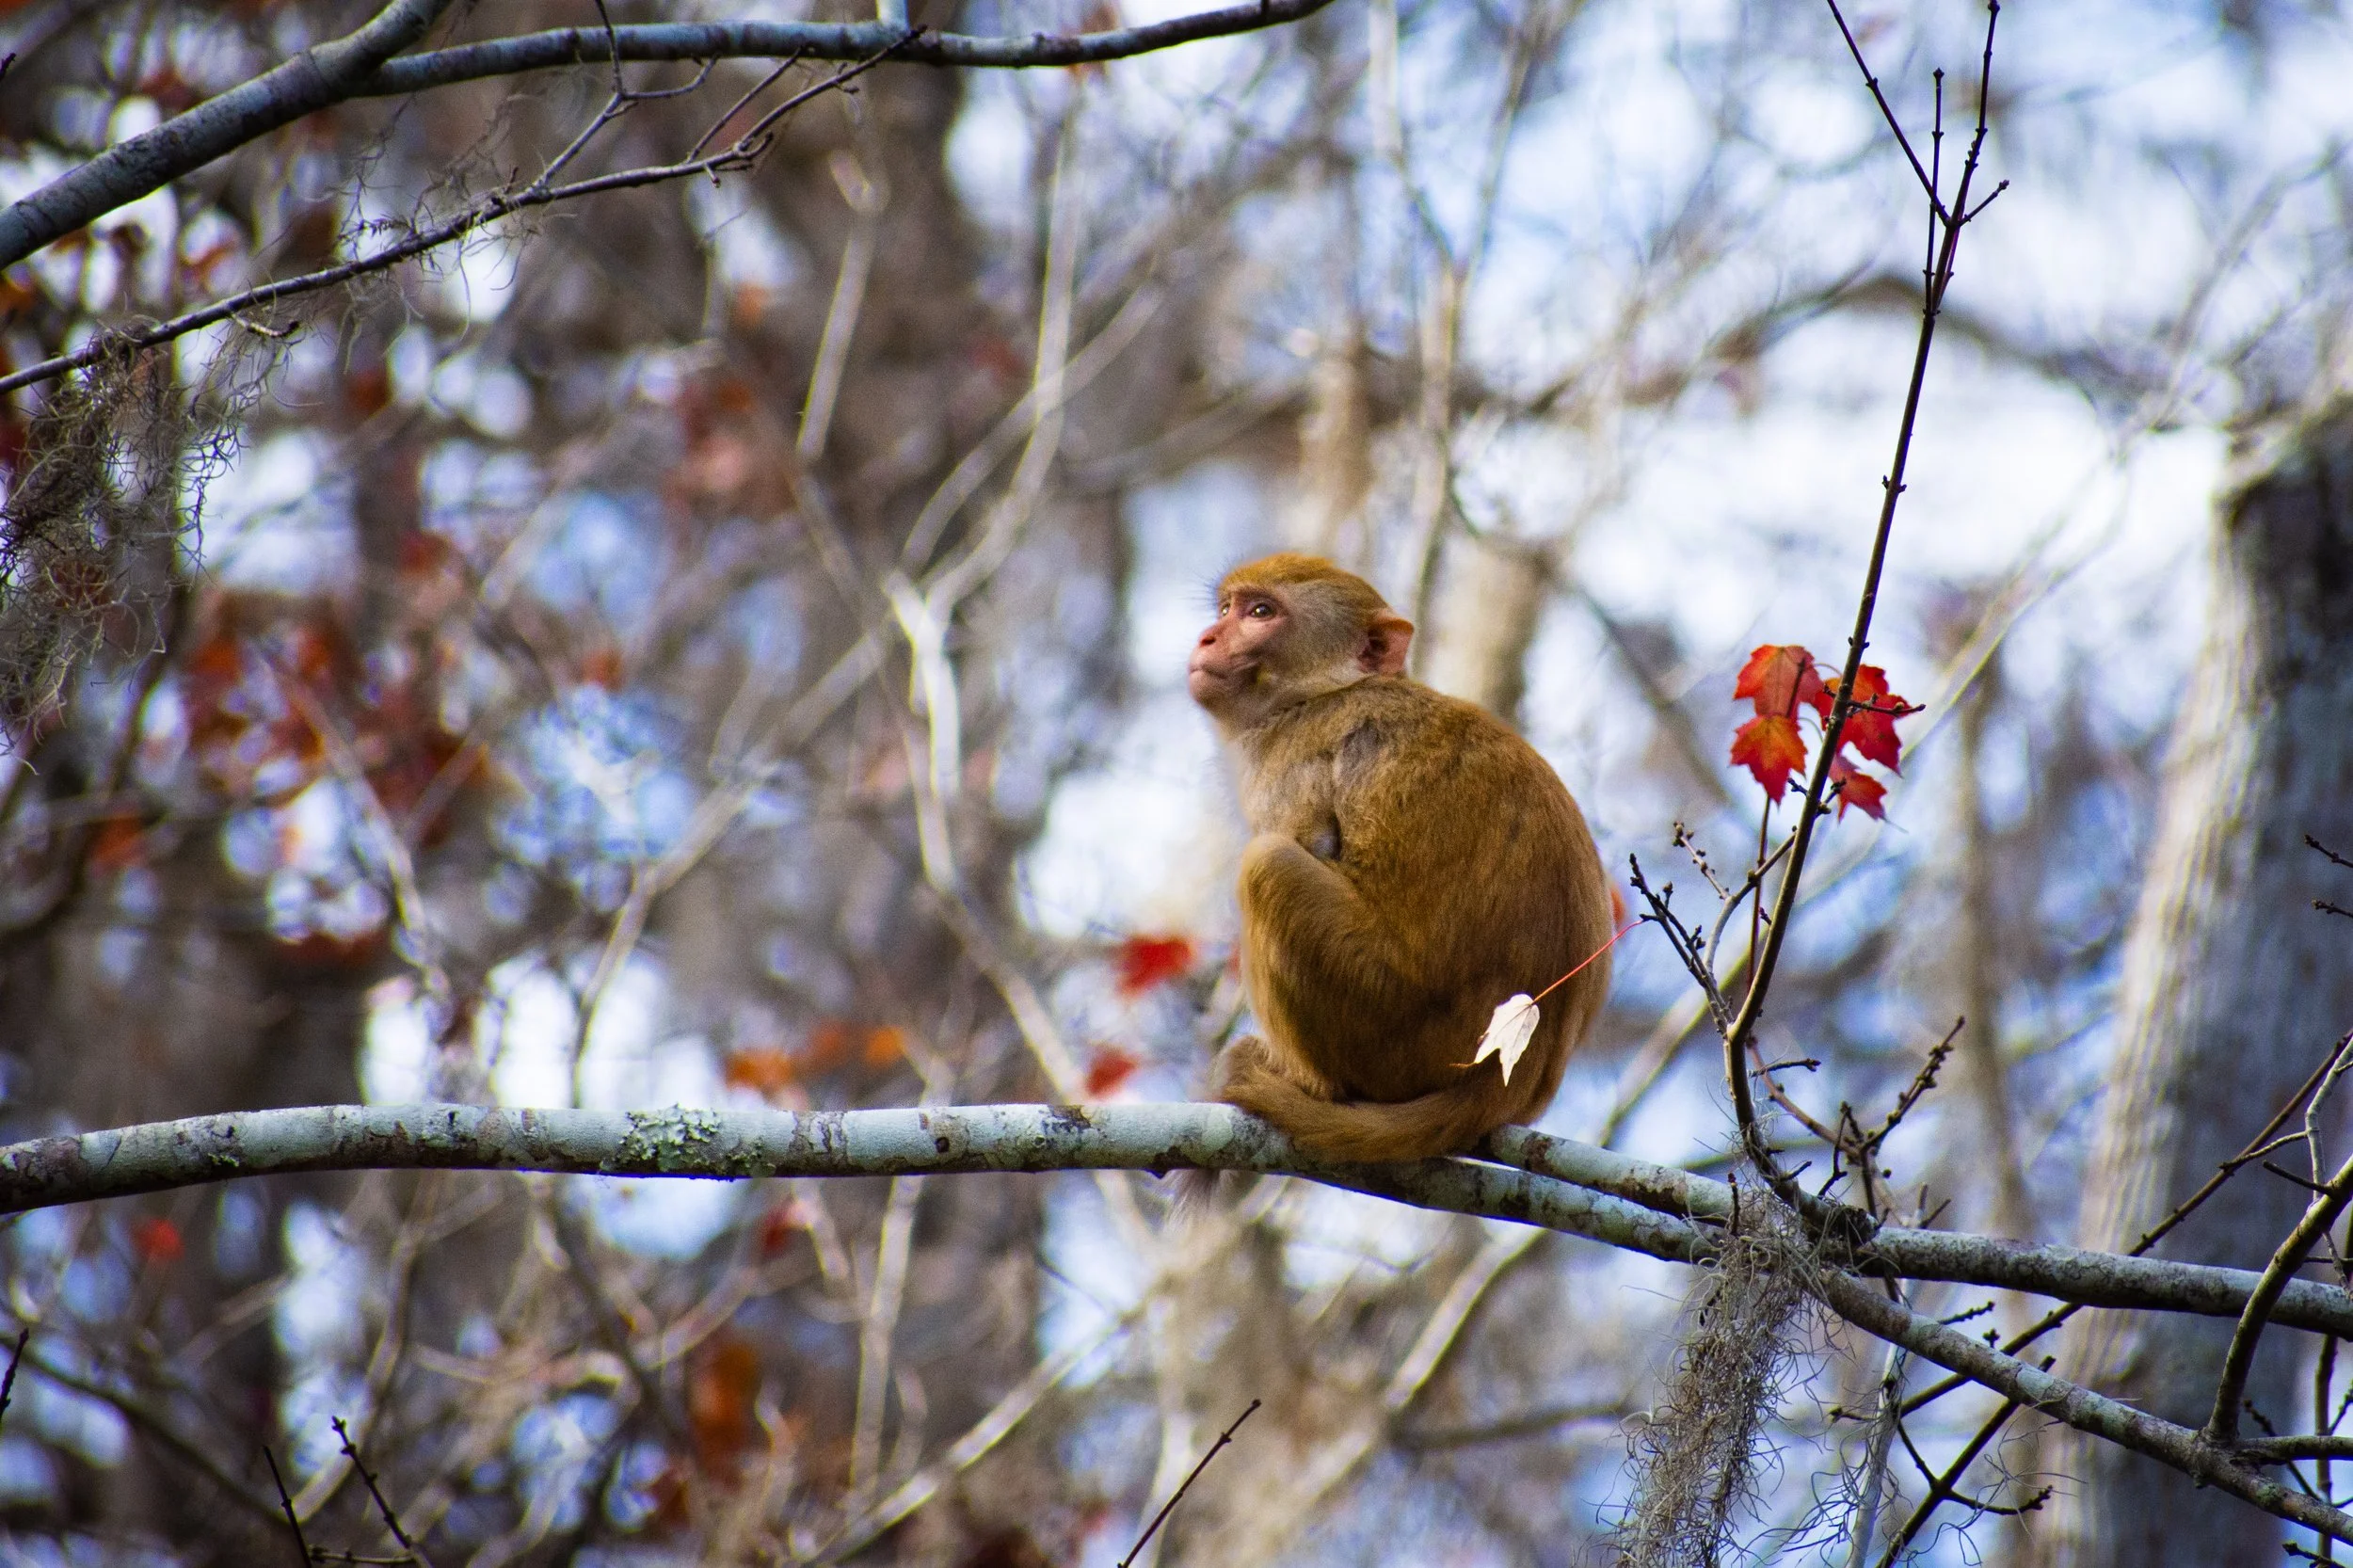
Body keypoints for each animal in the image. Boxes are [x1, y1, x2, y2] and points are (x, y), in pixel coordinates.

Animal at [1186, 552, 1615, 1164]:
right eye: (1225, 609)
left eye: (1261, 613)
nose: (1207, 636)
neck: (1320, 693)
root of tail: (1502, 1084)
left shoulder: (1289, 763)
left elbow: (1302, 841)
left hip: (1389, 1021)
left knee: (1268, 866)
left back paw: (1309, 1086)